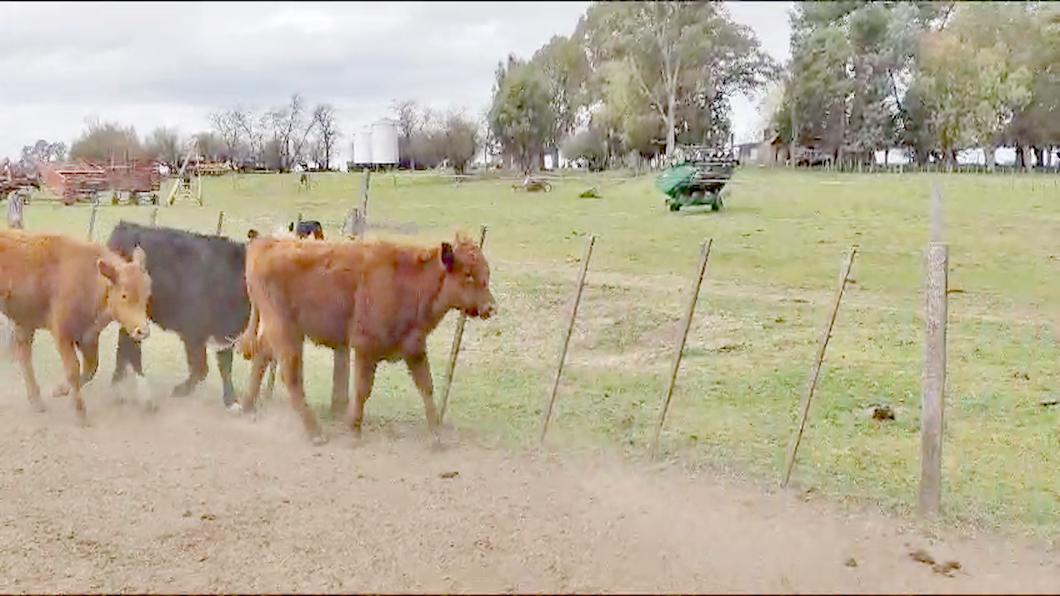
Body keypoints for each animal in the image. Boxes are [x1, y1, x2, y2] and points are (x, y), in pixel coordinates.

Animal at [0, 226, 151, 417]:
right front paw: (81, 413)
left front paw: (60, 390)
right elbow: (73, 369)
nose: (143, 331)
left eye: (147, 293)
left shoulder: (89, 336)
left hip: (25, 320)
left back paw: (37, 401)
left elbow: (90, 368)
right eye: (124, 295)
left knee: (24, 354)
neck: (90, 279)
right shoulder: (62, 334)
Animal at [107, 220, 254, 405]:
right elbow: (201, 367)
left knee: (125, 345)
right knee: (128, 347)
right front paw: (181, 390)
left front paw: (230, 399)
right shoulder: (194, 334)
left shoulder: (225, 337)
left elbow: (223, 366)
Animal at [233, 231, 496, 441]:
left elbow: (426, 387)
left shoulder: (415, 348)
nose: (491, 307)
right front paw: (354, 428)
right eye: (468, 274)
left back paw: (246, 407)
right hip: (286, 332)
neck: (407, 281)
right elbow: (362, 389)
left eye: (486, 272)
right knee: (291, 375)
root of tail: (266, 243)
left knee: (261, 357)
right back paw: (315, 432)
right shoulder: (365, 347)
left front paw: (437, 435)